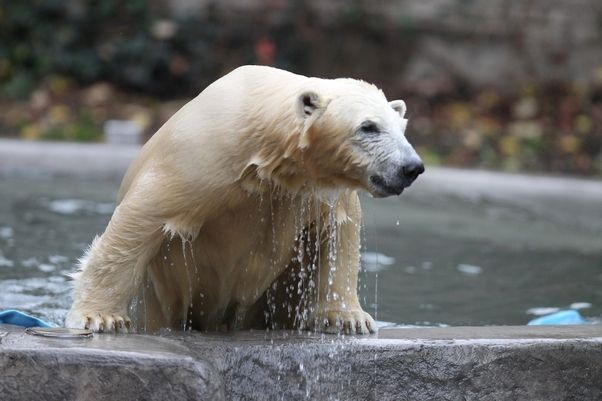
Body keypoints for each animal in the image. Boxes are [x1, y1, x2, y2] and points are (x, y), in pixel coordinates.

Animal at [64, 66, 422, 334]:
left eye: (402, 127)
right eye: (368, 127)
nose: (411, 167)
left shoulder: (314, 193)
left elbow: (337, 237)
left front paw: (349, 318)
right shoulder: (199, 155)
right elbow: (142, 218)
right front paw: (99, 317)